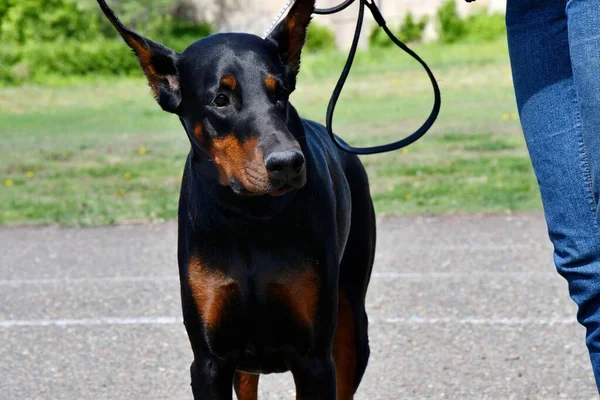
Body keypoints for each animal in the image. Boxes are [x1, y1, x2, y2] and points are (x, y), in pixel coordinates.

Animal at [98, 0, 376, 396]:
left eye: (280, 92)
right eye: (221, 99)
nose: (288, 163)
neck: (248, 218)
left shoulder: (314, 359)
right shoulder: (209, 360)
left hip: (352, 323)